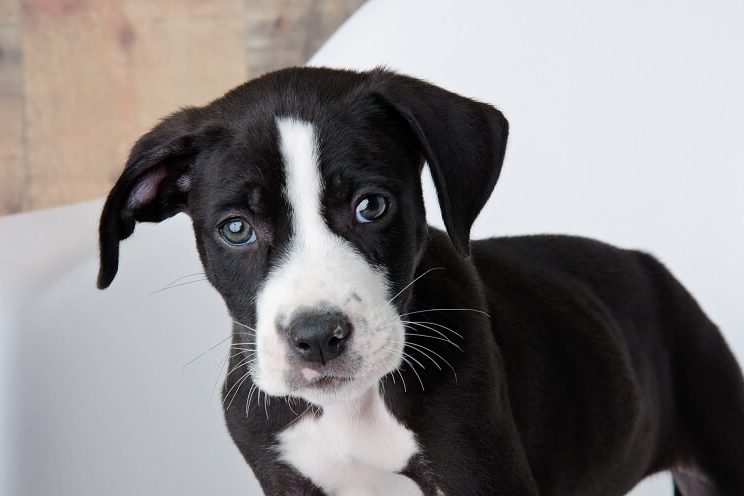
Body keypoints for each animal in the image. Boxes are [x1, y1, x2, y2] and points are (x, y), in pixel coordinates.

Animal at [97, 67, 744, 496]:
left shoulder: (477, 471)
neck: (352, 410)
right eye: (236, 229)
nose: (318, 337)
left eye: (371, 206)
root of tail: (650, 266)